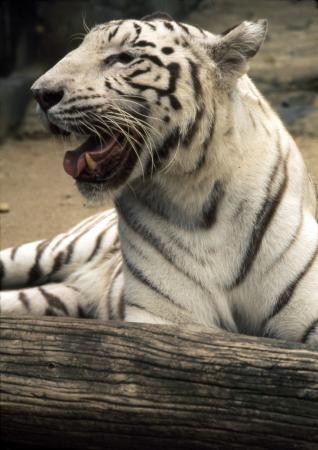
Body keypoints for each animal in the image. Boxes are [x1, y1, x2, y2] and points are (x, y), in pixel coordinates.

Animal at [0, 13, 318, 344]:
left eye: (124, 58)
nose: (39, 93)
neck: (196, 192)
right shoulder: (163, 318)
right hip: (53, 250)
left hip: (58, 295)